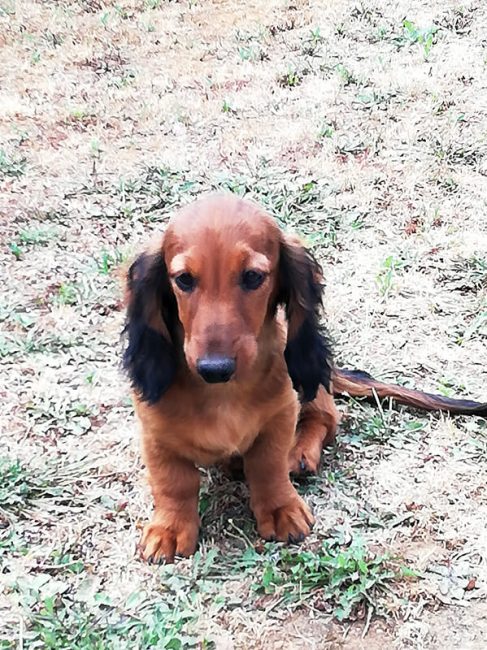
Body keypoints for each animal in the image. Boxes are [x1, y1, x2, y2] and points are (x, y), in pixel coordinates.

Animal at [123, 190, 487, 560]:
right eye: (183, 279)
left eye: (253, 277)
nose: (215, 369)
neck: (222, 394)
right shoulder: (155, 434)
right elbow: (173, 482)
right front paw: (170, 528)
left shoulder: (281, 415)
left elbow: (268, 466)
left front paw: (279, 507)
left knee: (324, 418)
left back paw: (299, 453)